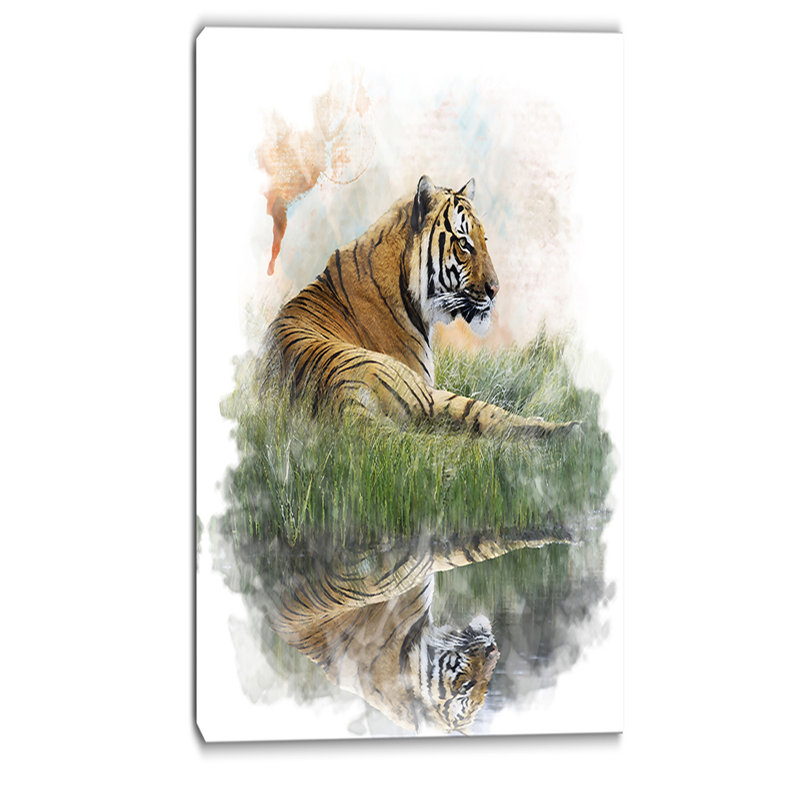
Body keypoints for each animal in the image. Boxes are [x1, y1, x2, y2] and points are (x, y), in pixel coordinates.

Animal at [264, 175, 577, 436]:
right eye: (464, 244)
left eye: (484, 239)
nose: (495, 290)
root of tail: (340, 398)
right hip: (421, 392)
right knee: (486, 414)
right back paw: (569, 429)